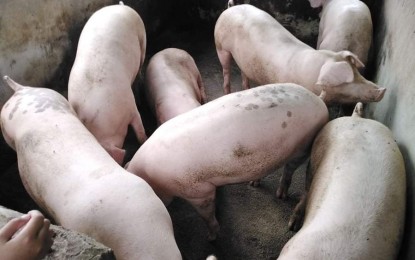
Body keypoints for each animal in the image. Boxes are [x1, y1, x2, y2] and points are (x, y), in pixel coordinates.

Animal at [70, 2, 150, 166]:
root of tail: (119, 6)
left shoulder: (130, 106)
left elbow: (139, 128)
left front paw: (144, 140)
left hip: (142, 34)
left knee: (141, 61)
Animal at [125, 83, 330, 240]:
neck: (154, 180)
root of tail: (318, 99)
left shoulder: (198, 191)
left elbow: (207, 214)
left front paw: (211, 237)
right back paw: (253, 183)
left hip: (304, 146)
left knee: (290, 170)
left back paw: (283, 202)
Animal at [214, 3, 386, 104]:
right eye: (347, 81)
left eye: (357, 72)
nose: (382, 90)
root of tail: (230, 7)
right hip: (220, 45)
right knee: (226, 69)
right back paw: (226, 93)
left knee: (244, 71)